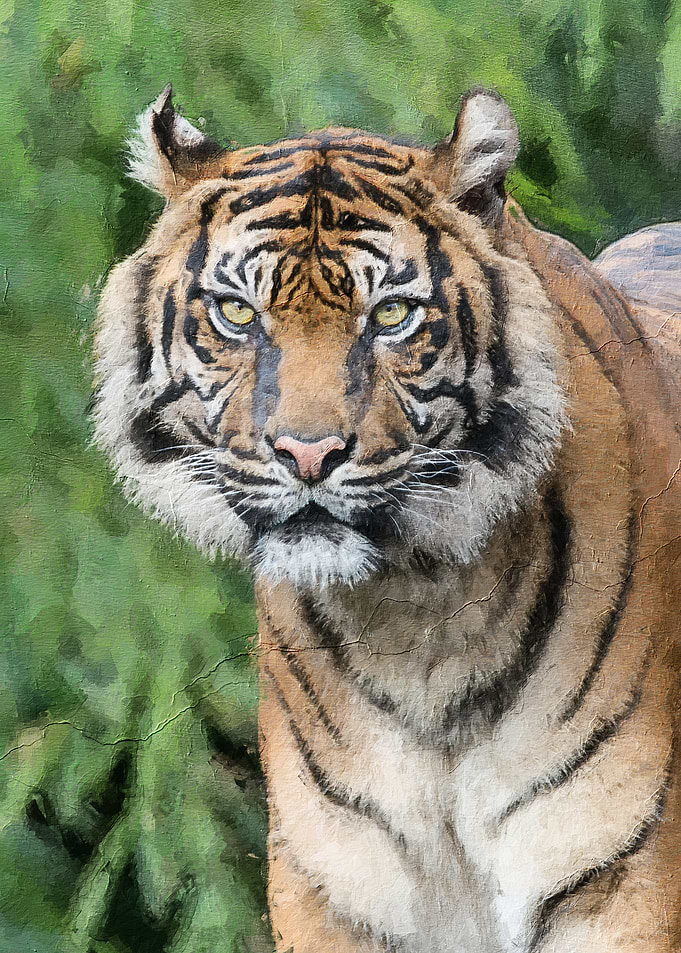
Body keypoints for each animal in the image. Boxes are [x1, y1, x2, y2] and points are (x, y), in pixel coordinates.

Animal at [92, 83, 681, 952]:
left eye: (393, 314)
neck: (419, 615)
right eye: (237, 312)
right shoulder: (335, 889)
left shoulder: (620, 879)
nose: (306, 454)